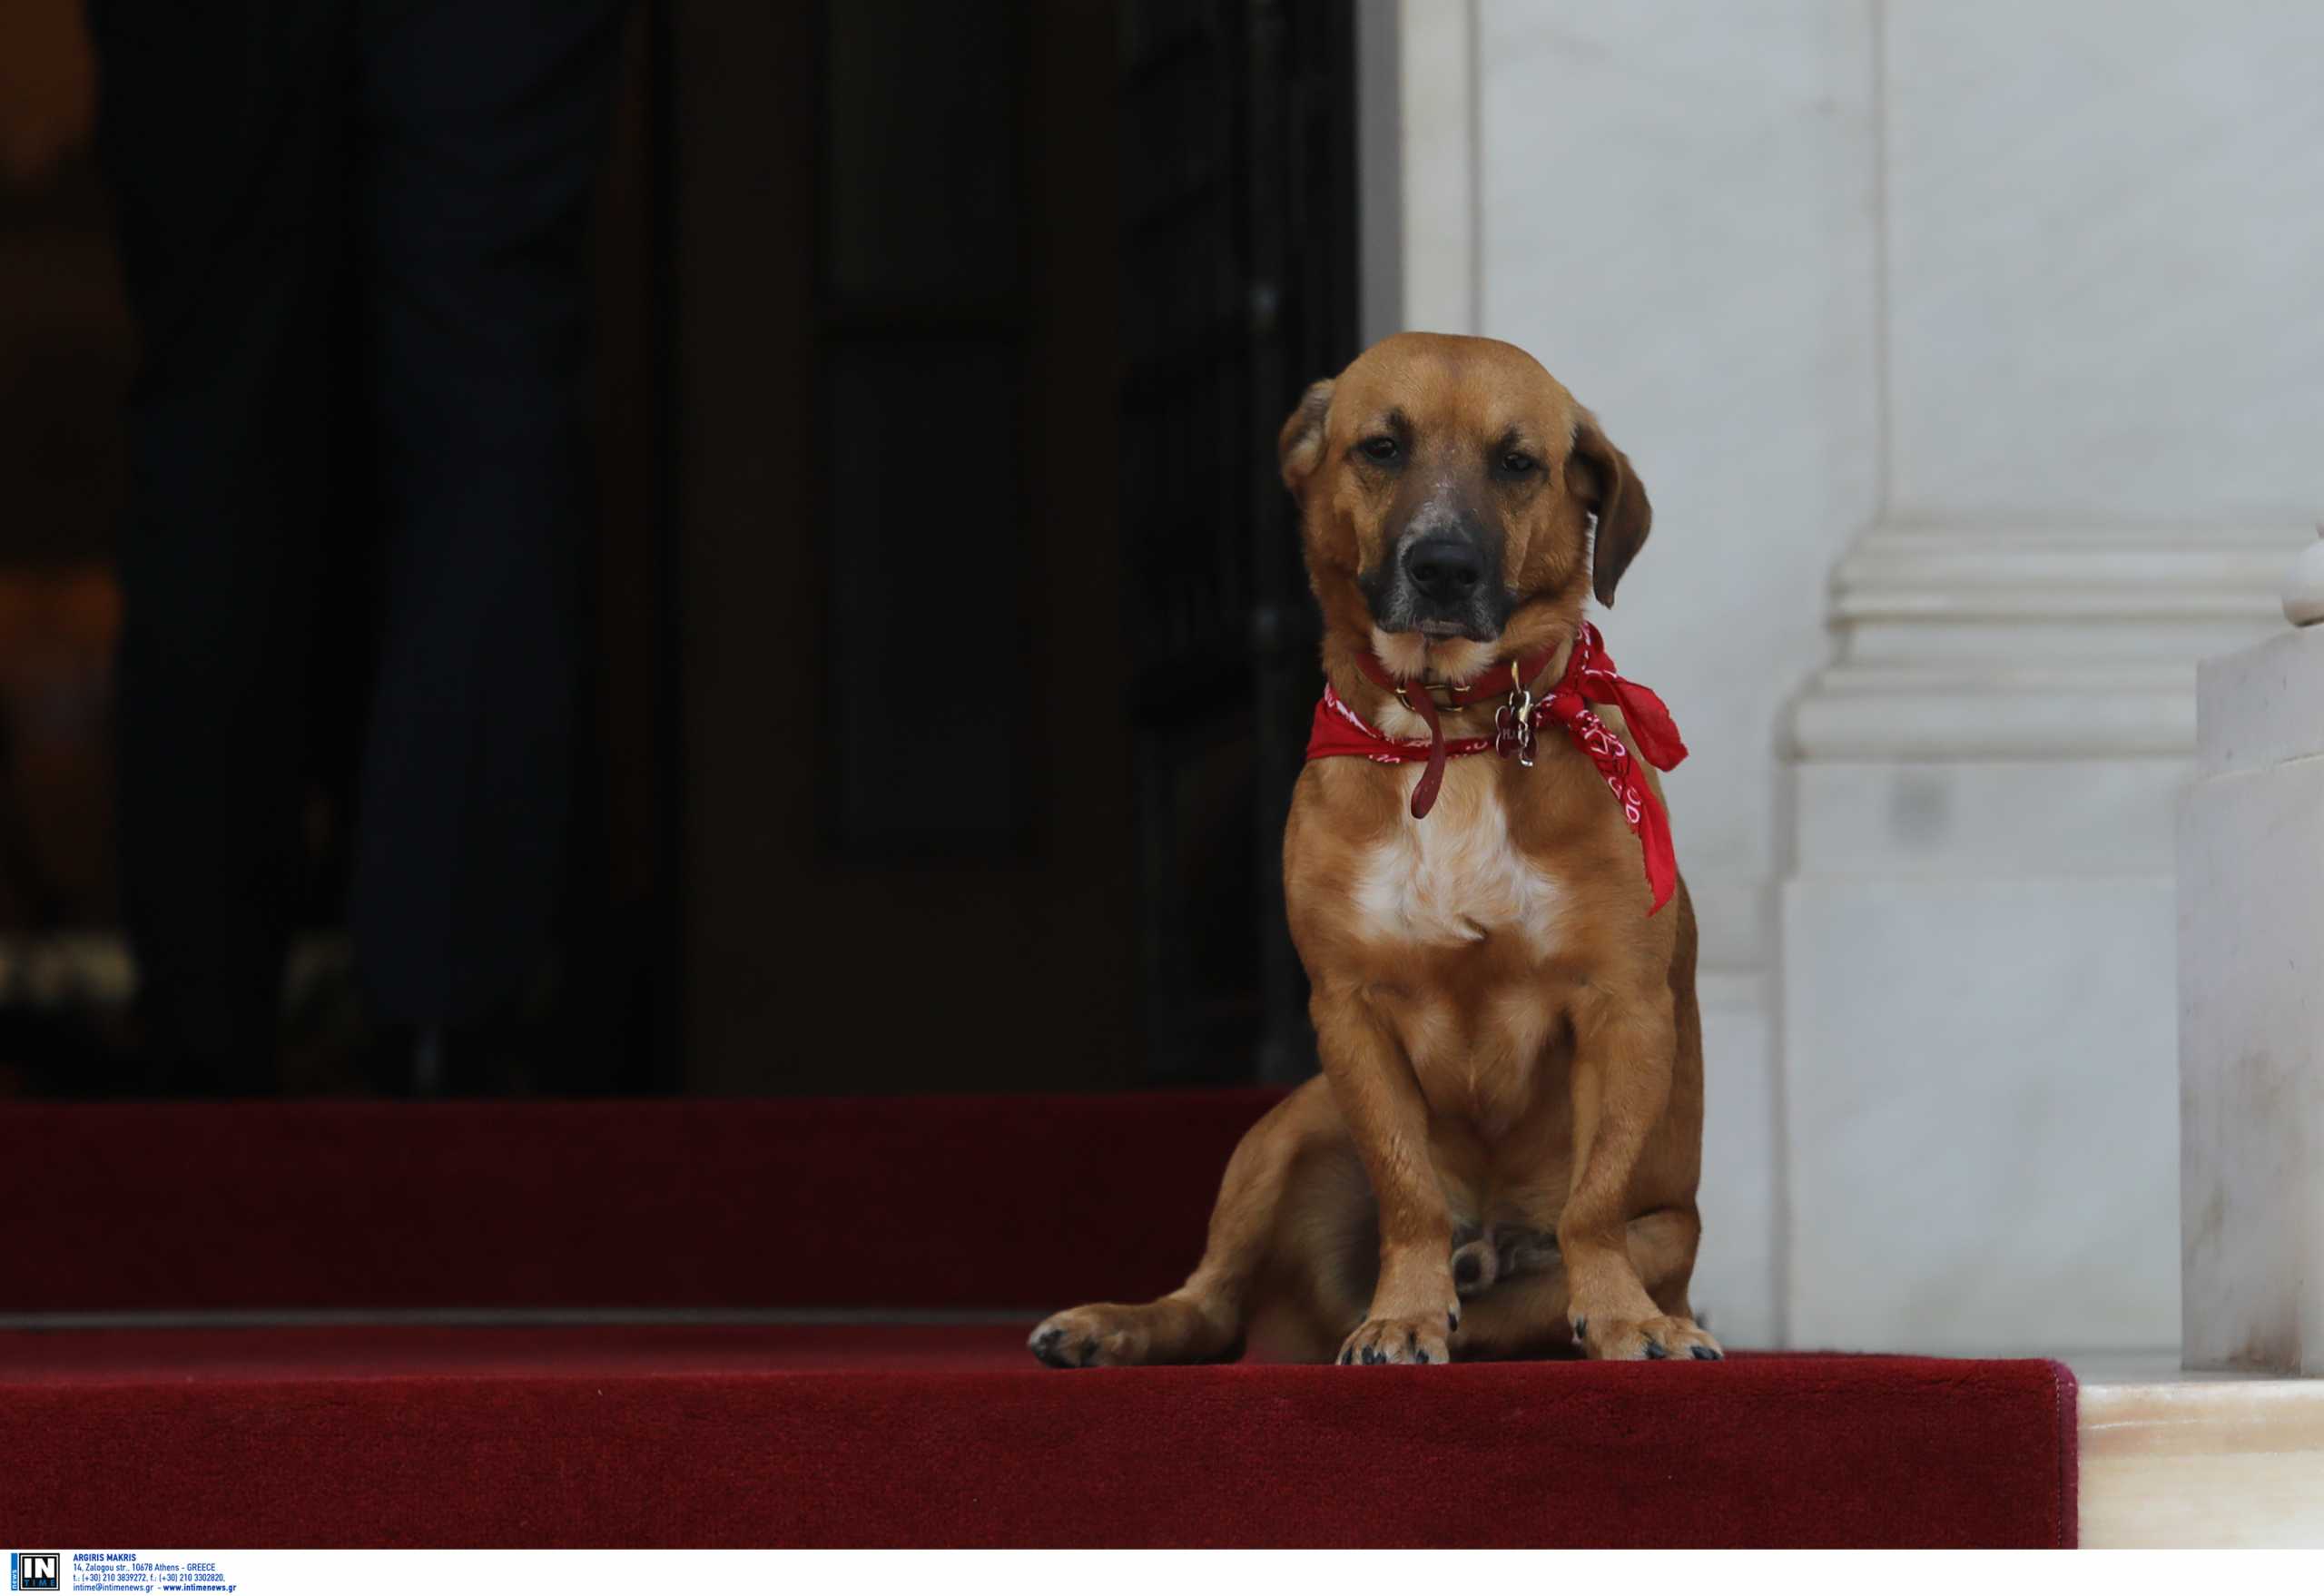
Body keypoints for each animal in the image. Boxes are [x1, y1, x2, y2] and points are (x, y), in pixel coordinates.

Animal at [1027, 330, 1719, 1365]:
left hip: (1667, 1228)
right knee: (1211, 1301)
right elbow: (1408, 1194)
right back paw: (1116, 1326)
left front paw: (1625, 1317)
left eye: (1518, 463)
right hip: (1289, 1125)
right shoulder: (1349, 1013)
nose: (1443, 567)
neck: (1456, 730)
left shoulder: (1622, 1009)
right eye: (1381, 448)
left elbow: (1592, 1206)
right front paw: (1403, 1312)